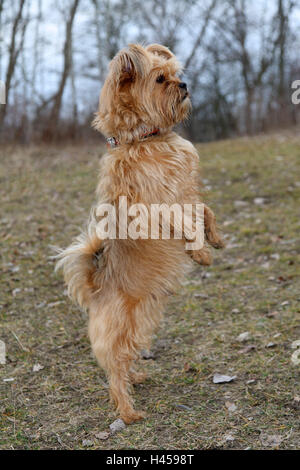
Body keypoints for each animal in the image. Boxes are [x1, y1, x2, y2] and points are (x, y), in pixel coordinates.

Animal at [55, 44, 223, 424]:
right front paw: (201, 253)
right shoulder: (159, 208)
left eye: (175, 74)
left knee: (126, 360)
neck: (142, 140)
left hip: (141, 323)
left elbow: (204, 211)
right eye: (161, 79)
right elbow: (186, 223)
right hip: (121, 332)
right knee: (114, 372)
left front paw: (215, 239)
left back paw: (137, 377)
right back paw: (128, 411)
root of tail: (95, 290)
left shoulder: (187, 196)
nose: (184, 84)